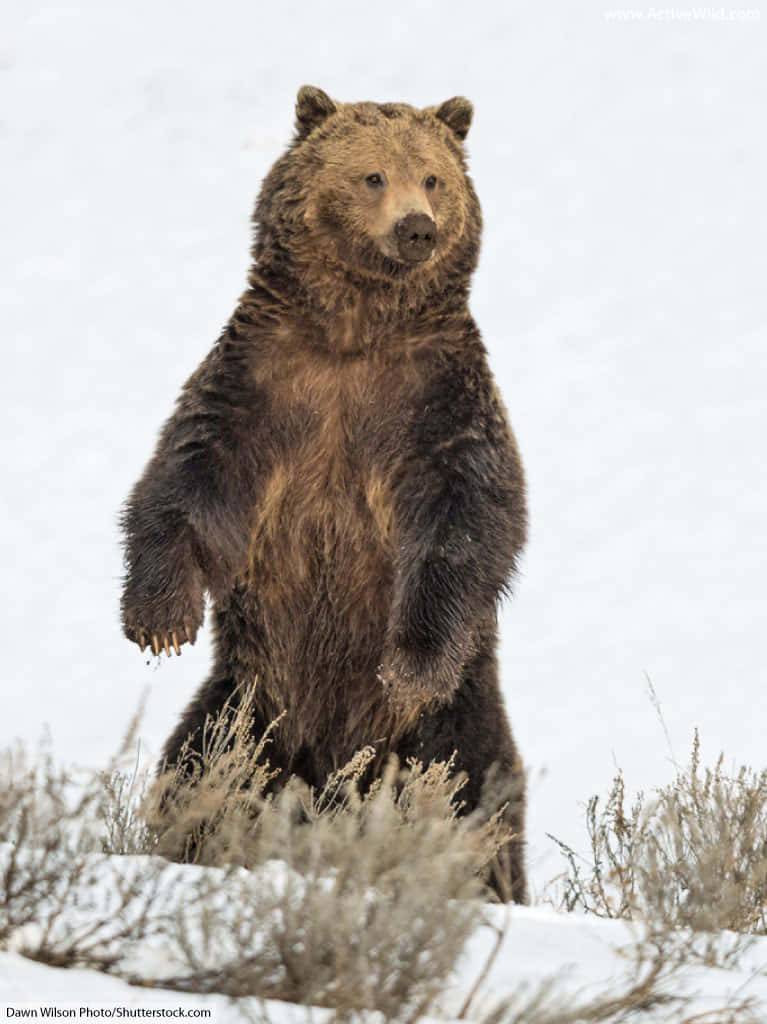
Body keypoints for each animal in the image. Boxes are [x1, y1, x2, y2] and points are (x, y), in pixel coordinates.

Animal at [121, 86, 529, 902]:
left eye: (432, 176)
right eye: (371, 175)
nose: (417, 227)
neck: (355, 332)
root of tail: (334, 777)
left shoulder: (436, 401)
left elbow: (467, 519)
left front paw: (409, 662)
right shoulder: (262, 383)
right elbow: (188, 477)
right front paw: (158, 619)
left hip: (449, 724)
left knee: (472, 798)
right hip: (251, 707)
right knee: (201, 770)